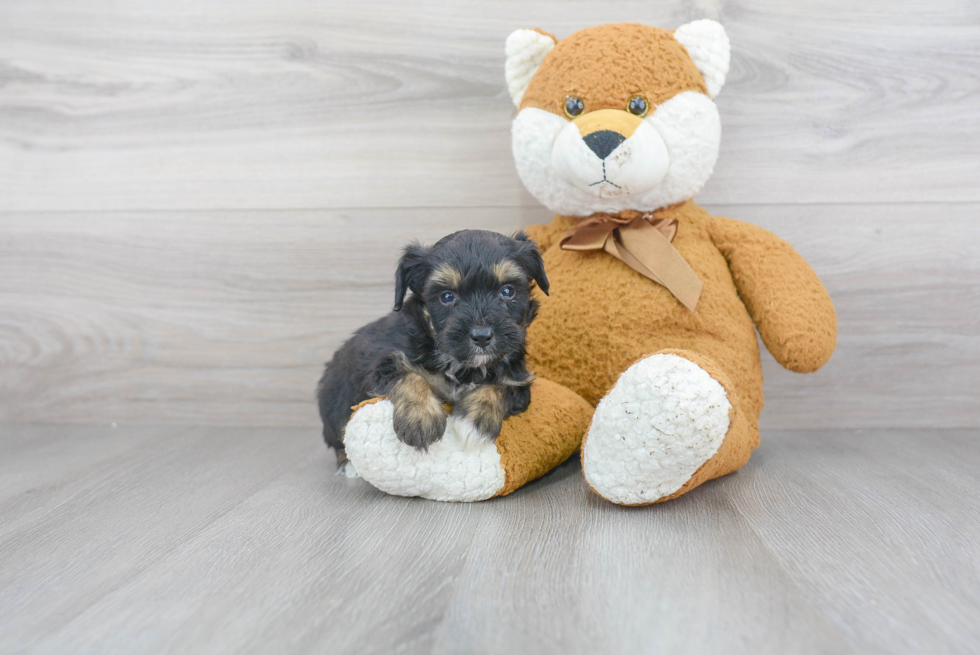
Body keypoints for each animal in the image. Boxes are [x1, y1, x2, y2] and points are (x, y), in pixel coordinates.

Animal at [318, 228, 548, 468]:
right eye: (446, 296)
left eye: (507, 291)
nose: (482, 336)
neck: (462, 365)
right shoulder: (376, 365)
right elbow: (408, 375)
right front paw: (420, 419)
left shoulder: (519, 376)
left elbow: (500, 386)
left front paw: (474, 421)